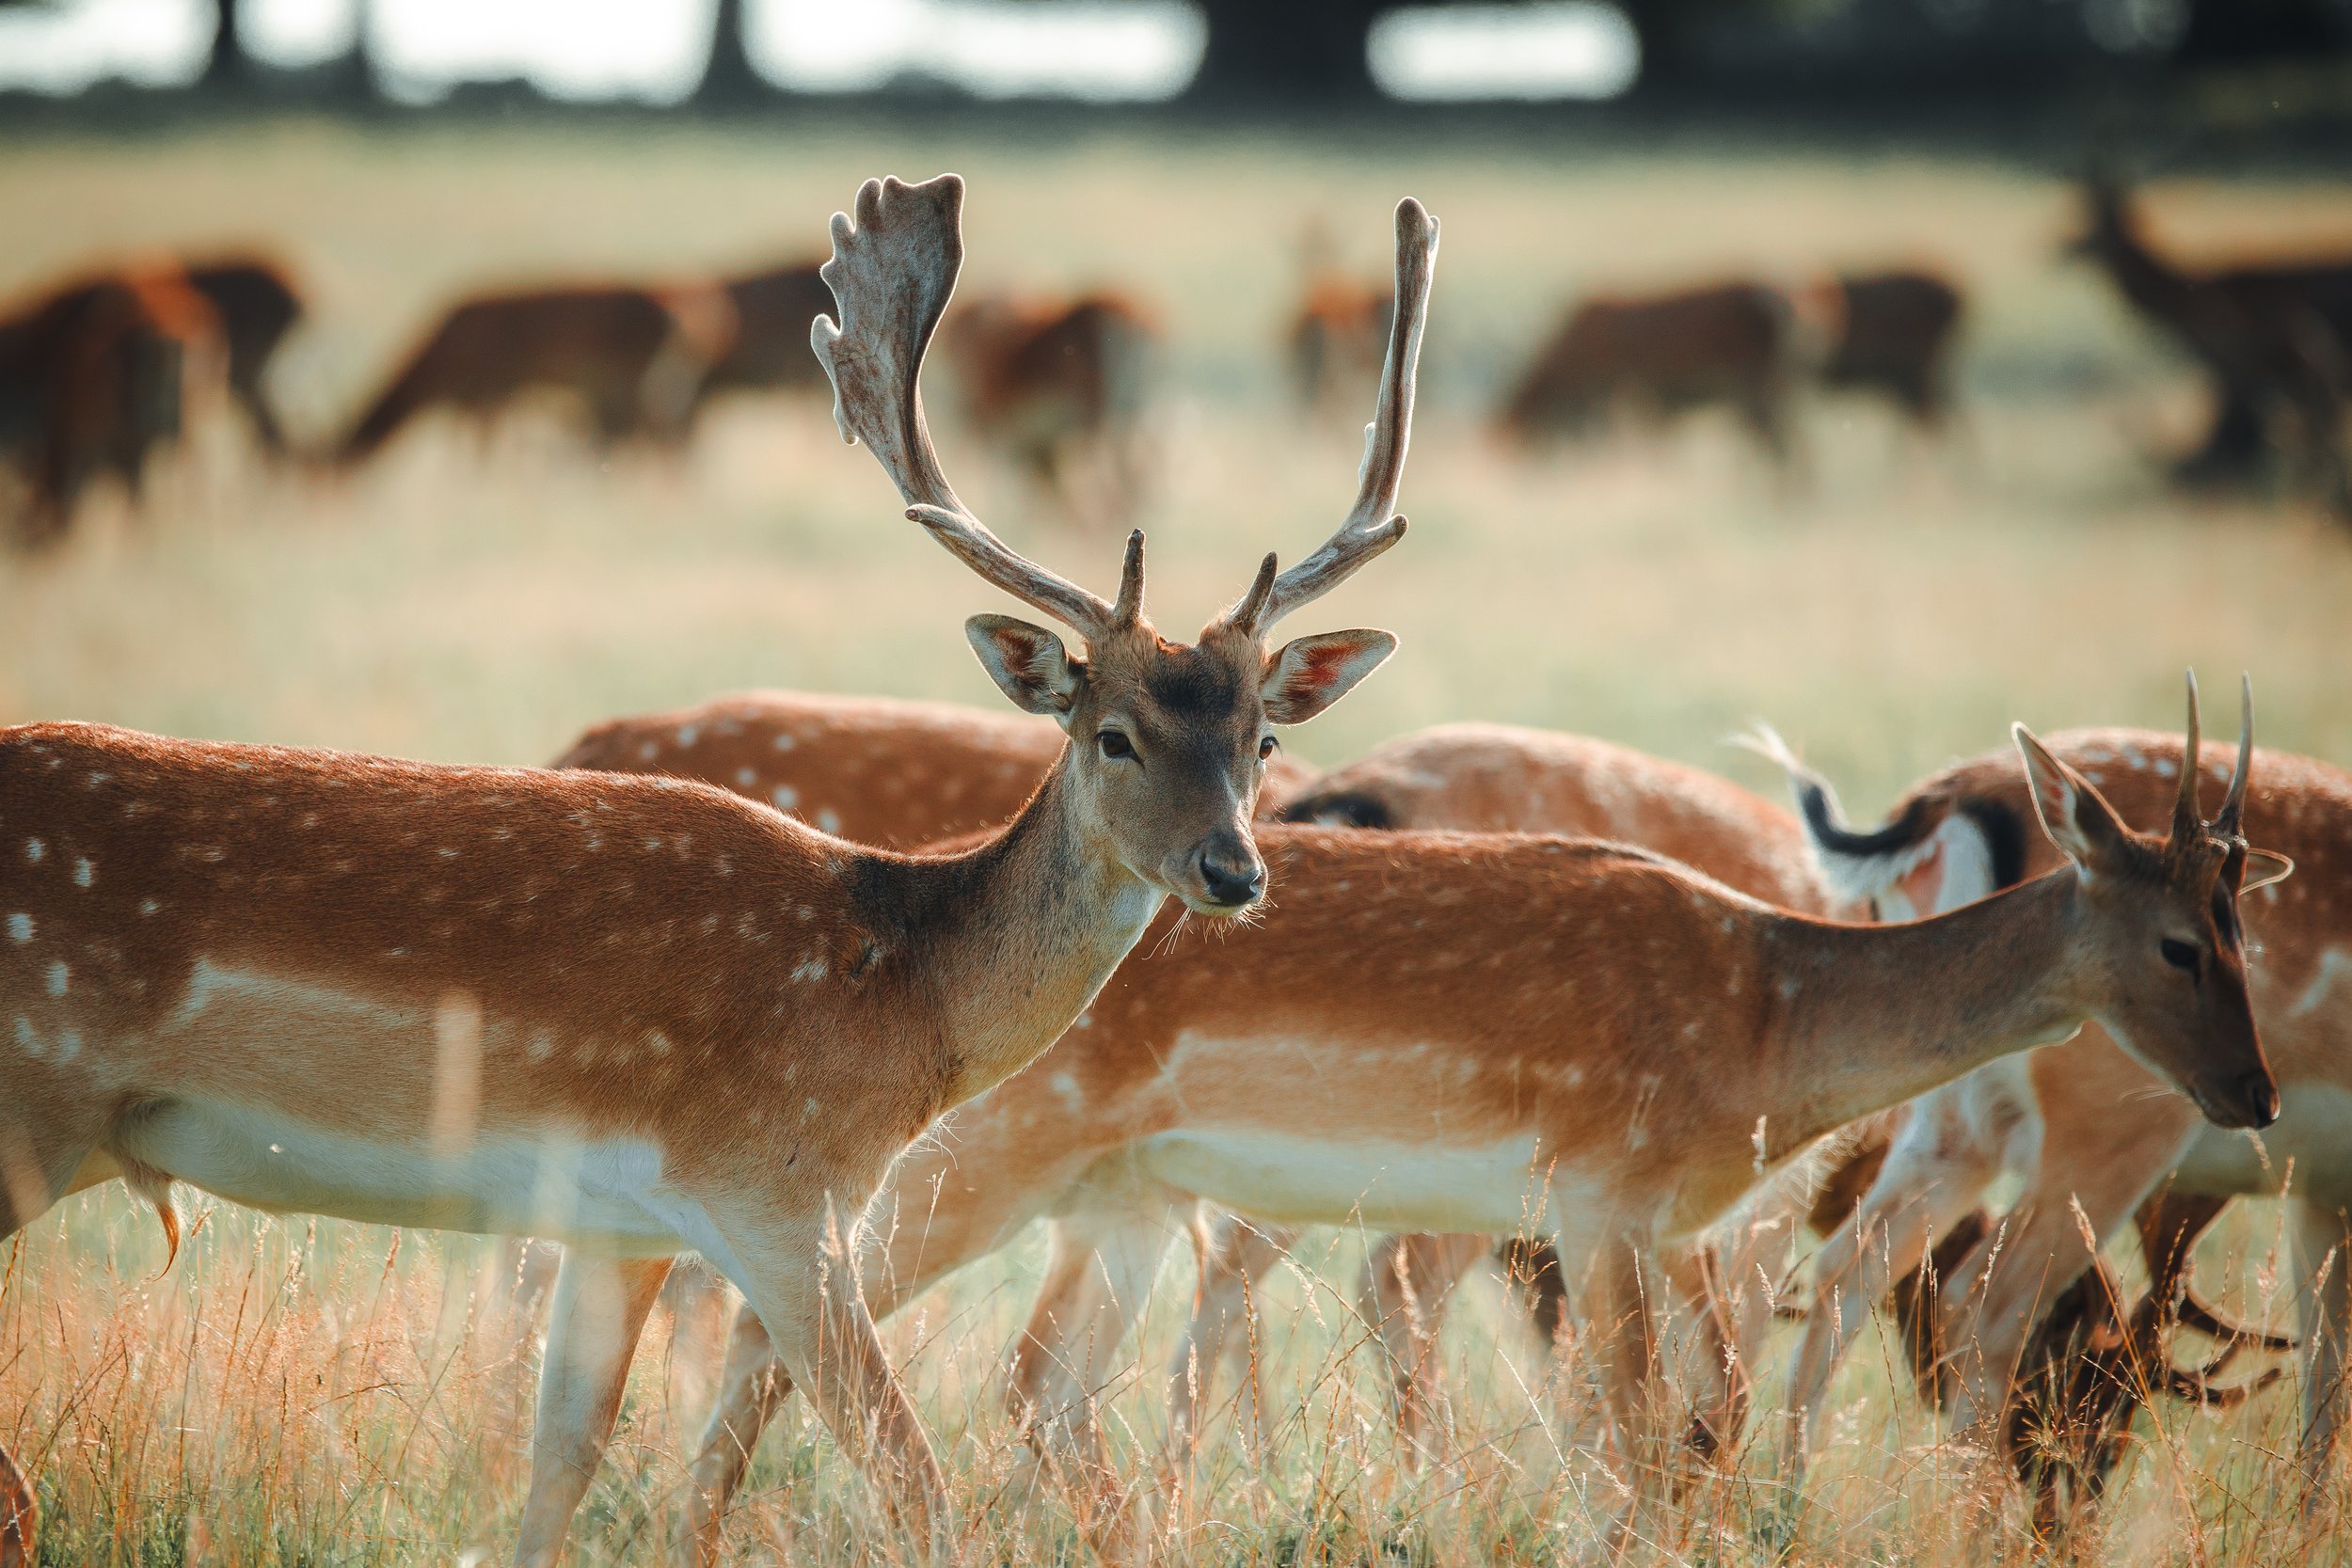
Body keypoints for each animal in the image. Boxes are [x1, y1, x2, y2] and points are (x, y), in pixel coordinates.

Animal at [652, 689, 2282, 1558]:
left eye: (2240, 918)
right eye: (2176, 942)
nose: (2255, 1094)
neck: (1770, 1014)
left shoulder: (1660, 1225)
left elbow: (1689, 1419)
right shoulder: (1600, 1195)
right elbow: (1636, 1429)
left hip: (1116, 1194)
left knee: (1031, 1379)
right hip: (976, 1156)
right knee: (779, 1321)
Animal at [1757, 689, 2352, 1511]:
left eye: (2243, 936)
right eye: (2182, 947)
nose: (2260, 1097)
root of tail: (1939, 806)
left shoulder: (2319, 1192)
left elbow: (2324, 1375)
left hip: (1952, 1123)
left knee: (1847, 1273)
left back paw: (1782, 1507)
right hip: (2102, 1134)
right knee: (1990, 1304)